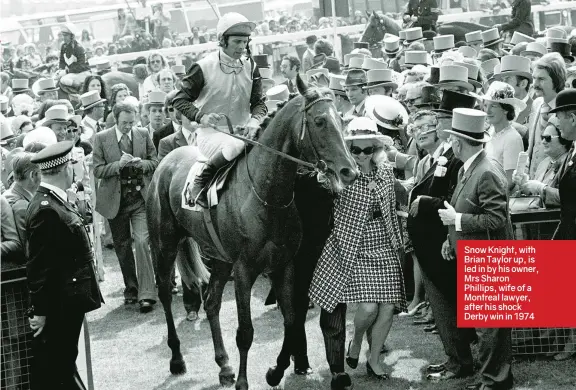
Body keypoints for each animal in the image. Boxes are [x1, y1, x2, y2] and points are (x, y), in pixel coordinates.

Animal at [146, 76, 358, 390]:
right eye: (320, 121)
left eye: (342, 120)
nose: (349, 171)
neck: (266, 195)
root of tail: (166, 161)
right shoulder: (245, 270)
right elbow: (245, 331)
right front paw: (245, 382)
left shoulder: (283, 265)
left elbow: (291, 319)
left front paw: (275, 371)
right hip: (164, 246)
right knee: (164, 295)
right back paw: (177, 359)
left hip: (220, 258)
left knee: (211, 302)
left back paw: (224, 366)